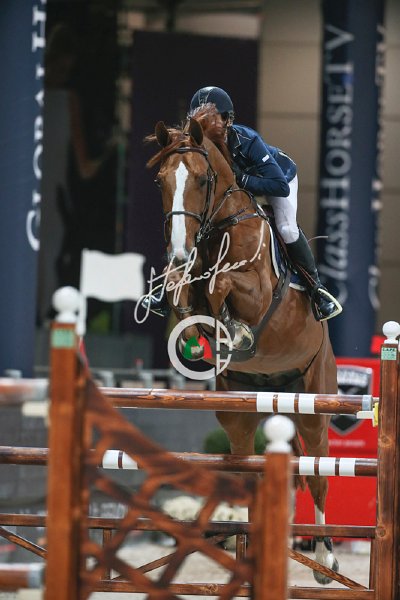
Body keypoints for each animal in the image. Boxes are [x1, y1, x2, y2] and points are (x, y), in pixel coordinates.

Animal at [145, 106, 339, 583]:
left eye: (201, 179)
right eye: (160, 180)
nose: (178, 250)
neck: (217, 227)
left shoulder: (257, 291)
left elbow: (224, 283)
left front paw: (235, 329)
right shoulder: (184, 278)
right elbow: (183, 293)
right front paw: (199, 339)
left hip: (314, 401)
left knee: (319, 470)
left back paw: (325, 559)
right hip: (238, 408)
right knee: (248, 467)